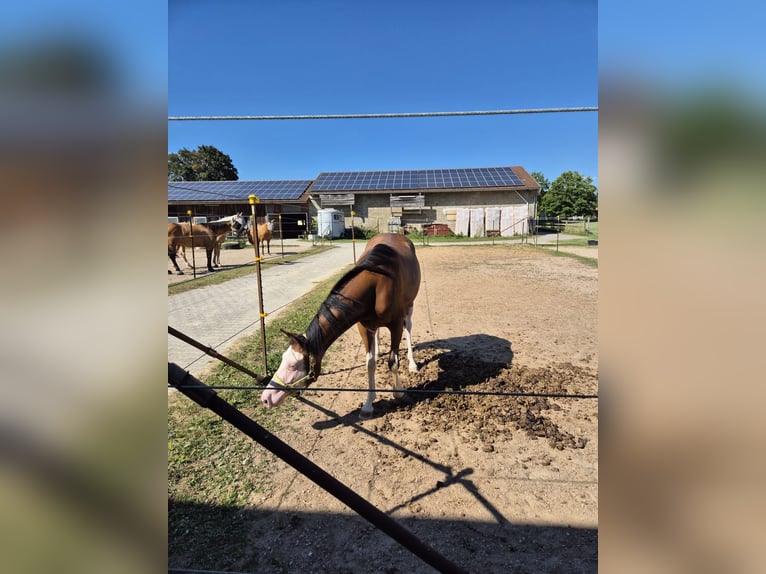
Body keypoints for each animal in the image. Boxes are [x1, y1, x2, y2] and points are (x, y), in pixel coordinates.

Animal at [262, 233, 420, 418]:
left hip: (409, 308)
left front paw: (399, 393)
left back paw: (412, 363)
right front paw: (368, 405)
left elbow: (393, 362)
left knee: (408, 329)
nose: (266, 397)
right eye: (283, 358)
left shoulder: (396, 325)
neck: (377, 285)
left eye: (293, 365)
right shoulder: (363, 327)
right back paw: (379, 350)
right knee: (378, 333)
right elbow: (370, 364)